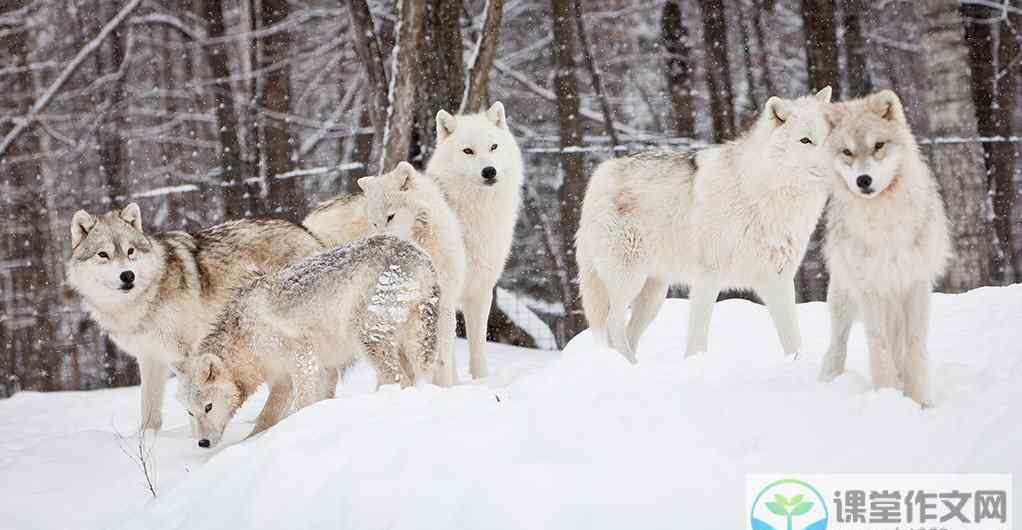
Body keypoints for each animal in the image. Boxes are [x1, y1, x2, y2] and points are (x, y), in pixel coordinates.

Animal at [65, 205, 320, 432]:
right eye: (103, 254)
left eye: (130, 251)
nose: (128, 275)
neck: (141, 303)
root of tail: (304, 230)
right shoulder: (150, 357)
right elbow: (149, 411)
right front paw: (148, 444)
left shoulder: (186, 354)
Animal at [172, 236, 443, 447]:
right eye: (190, 412)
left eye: (208, 407)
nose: (202, 443)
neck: (246, 337)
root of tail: (422, 259)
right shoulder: (287, 379)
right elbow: (266, 419)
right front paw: (250, 442)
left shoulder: (303, 357)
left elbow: (302, 402)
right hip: (411, 343)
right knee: (418, 376)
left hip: (368, 338)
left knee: (393, 377)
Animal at [817, 91, 952, 406]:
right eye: (847, 152)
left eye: (878, 146)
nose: (863, 180)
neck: (884, 218)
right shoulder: (871, 289)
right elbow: (878, 347)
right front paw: (887, 395)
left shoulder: (915, 284)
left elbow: (914, 347)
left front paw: (917, 401)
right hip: (843, 299)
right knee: (837, 344)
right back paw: (829, 379)